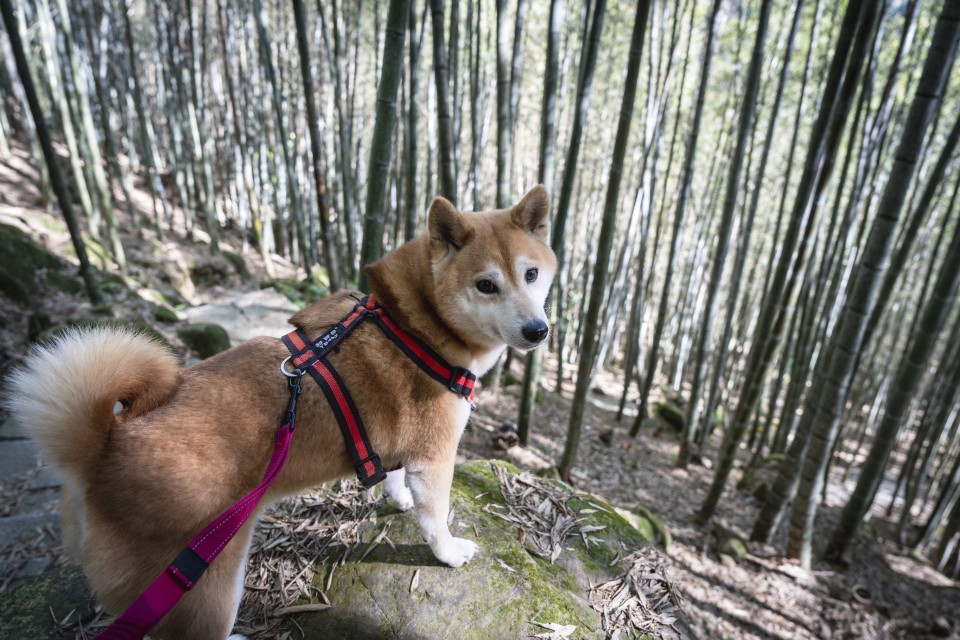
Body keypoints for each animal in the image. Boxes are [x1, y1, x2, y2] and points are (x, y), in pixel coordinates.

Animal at [3, 182, 556, 636]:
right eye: (486, 285)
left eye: (531, 274)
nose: (538, 331)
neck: (413, 326)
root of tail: (102, 450)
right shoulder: (436, 457)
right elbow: (435, 520)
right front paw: (449, 552)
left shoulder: (404, 447)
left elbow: (397, 480)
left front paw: (397, 499)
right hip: (206, 592)